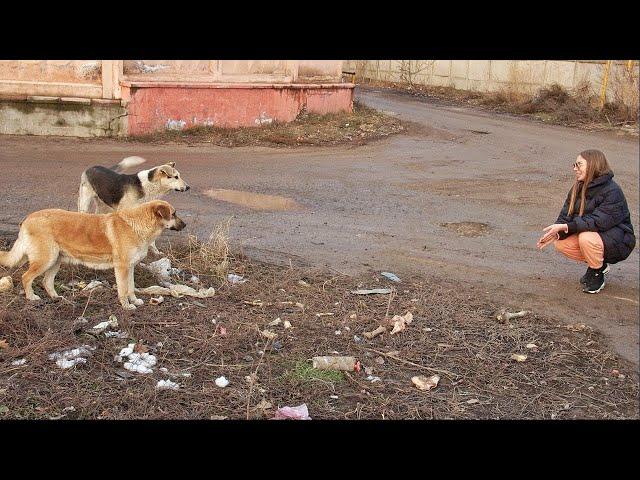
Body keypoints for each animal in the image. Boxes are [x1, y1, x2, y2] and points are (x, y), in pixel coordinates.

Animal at [0, 200, 185, 310]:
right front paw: (126, 306)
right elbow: (123, 290)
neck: (137, 224)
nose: (185, 225)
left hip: (55, 262)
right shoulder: (122, 268)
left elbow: (131, 288)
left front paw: (134, 301)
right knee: (26, 277)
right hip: (45, 260)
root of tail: (27, 219)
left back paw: (56, 297)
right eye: (174, 214)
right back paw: (31, 297)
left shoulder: (130, 267)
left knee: (47, 282)